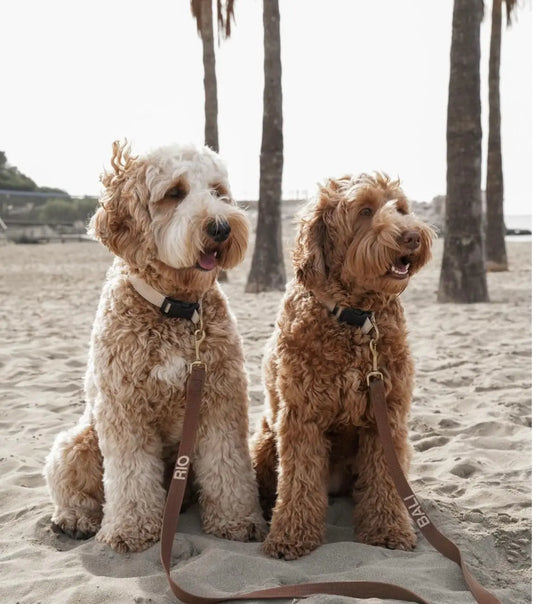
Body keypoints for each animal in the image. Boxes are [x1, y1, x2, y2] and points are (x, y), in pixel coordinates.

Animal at [250, 172, 432, 560]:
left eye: (401, 208)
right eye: (364, 210)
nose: (412, 235)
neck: (356, 318)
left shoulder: (387, 415)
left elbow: (384, 478)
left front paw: (389, 530)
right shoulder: (301, 416)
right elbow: (299, 480)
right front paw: (290, 537)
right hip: (265, 441)